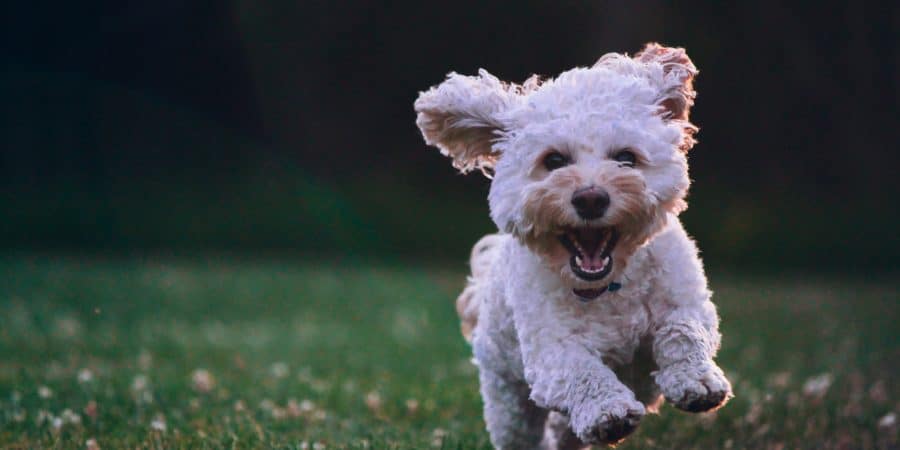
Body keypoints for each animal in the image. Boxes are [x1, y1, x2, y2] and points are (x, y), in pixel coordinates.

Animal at [414, 43, 732, 450]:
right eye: (554, 160)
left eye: (626, 158)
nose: (591, 198)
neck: (608, 287)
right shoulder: (551, 351)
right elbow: (582, 371)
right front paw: (607, 411)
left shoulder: (686, 300)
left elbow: (683, 332)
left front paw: (696, 380)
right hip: (508, 400)